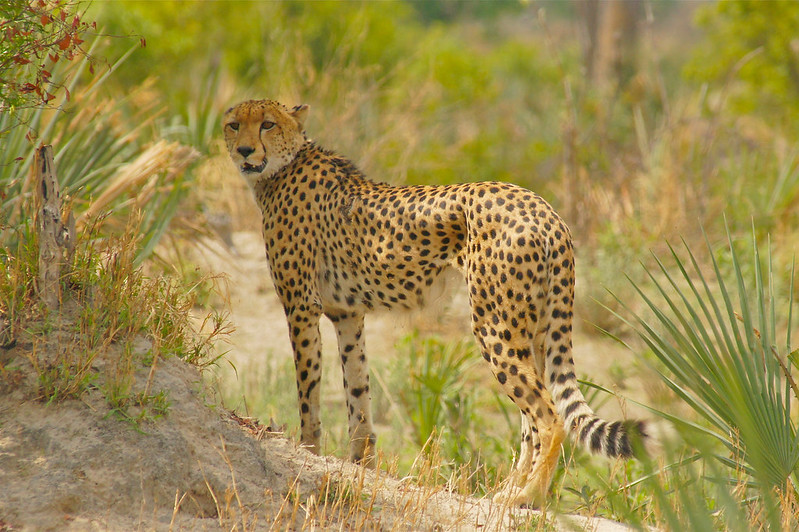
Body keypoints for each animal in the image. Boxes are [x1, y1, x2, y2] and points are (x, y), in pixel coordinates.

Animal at [222, 100, 648, 508]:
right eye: (233, 124)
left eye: (267, 124)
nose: (244, 151)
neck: (283, 165)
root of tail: (545, 208)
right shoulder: (347, 315)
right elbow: (357, 391)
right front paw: (360, 467)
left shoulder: (301, 308)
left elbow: (308, 392)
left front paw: (308, 454)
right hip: (537, 331)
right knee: (531, 418)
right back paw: (510, 489)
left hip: (494, 325)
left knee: (548, 416)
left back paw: (528, 496)